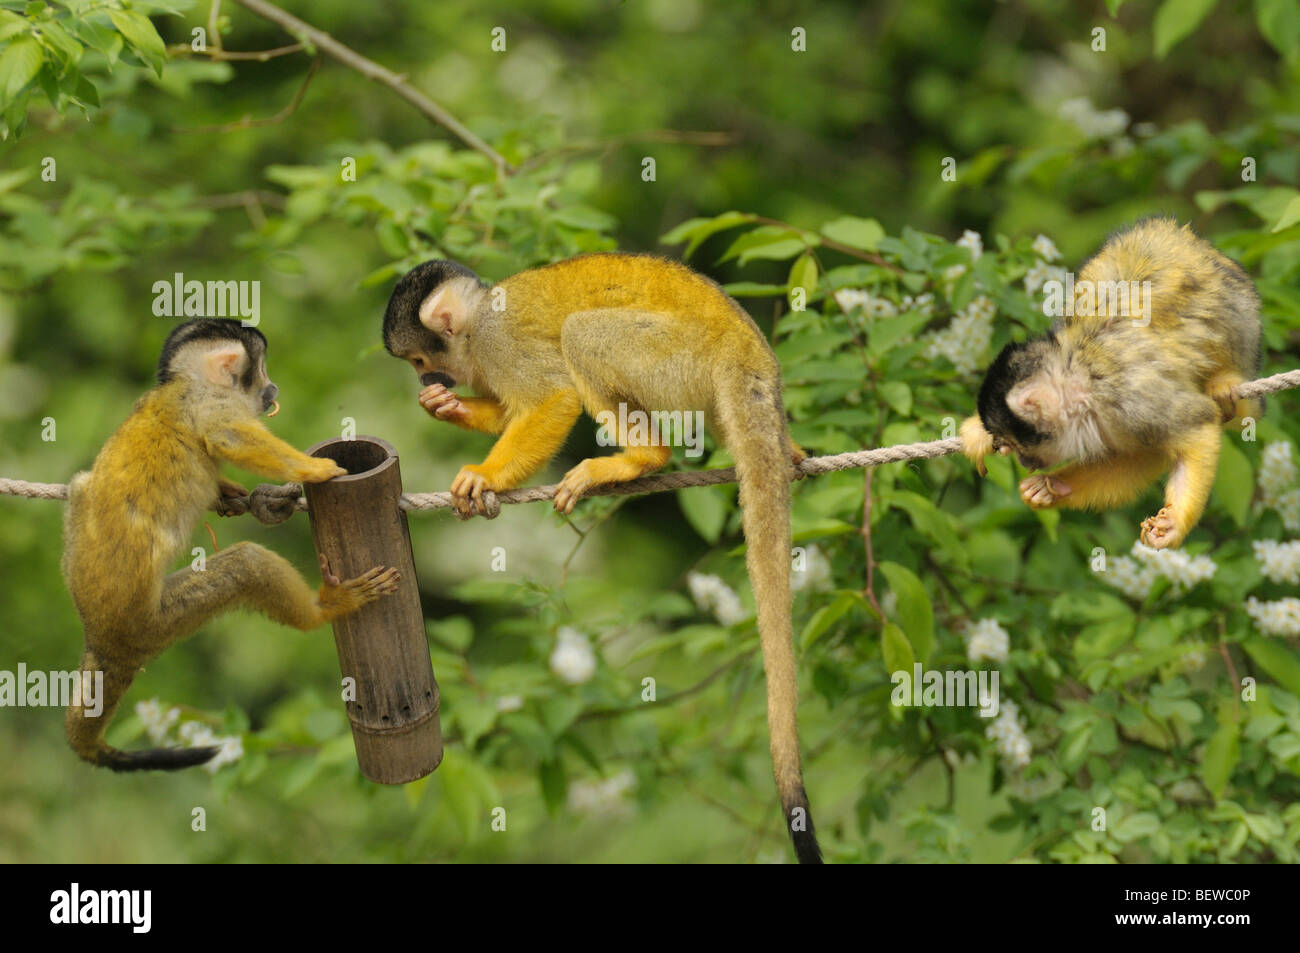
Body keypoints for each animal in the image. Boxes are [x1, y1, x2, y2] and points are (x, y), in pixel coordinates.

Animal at [59, 317, 400, 764]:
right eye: (263, 371)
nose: (273, 389)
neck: (182, 382)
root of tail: (100, 639)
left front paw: (231, 493)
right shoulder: (210, 402)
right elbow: (227, 436)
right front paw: (317, 469)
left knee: (82, 485)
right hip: (154, 622)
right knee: (245, 566)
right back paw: (324, 607)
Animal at [379, 252, 821, 863]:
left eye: (421, 359)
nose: (425, 381)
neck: (476, 322)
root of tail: (747, 351)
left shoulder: (496, 341)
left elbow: (552, 397)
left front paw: (485, 475)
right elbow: (511, 410)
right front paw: (446, 407)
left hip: (678, 358)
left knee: (582, 335)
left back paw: (641, 458)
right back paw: (790, 454)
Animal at [961, 218, 1253, 546]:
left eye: (1018, 446)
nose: (1025, 463)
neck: (1082, 384)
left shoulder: (1132, 401)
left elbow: (1196, 424)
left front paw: (1175, 523)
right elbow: (1144, 455)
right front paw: (1053, 486)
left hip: (1239, 310)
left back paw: (1224, 381)